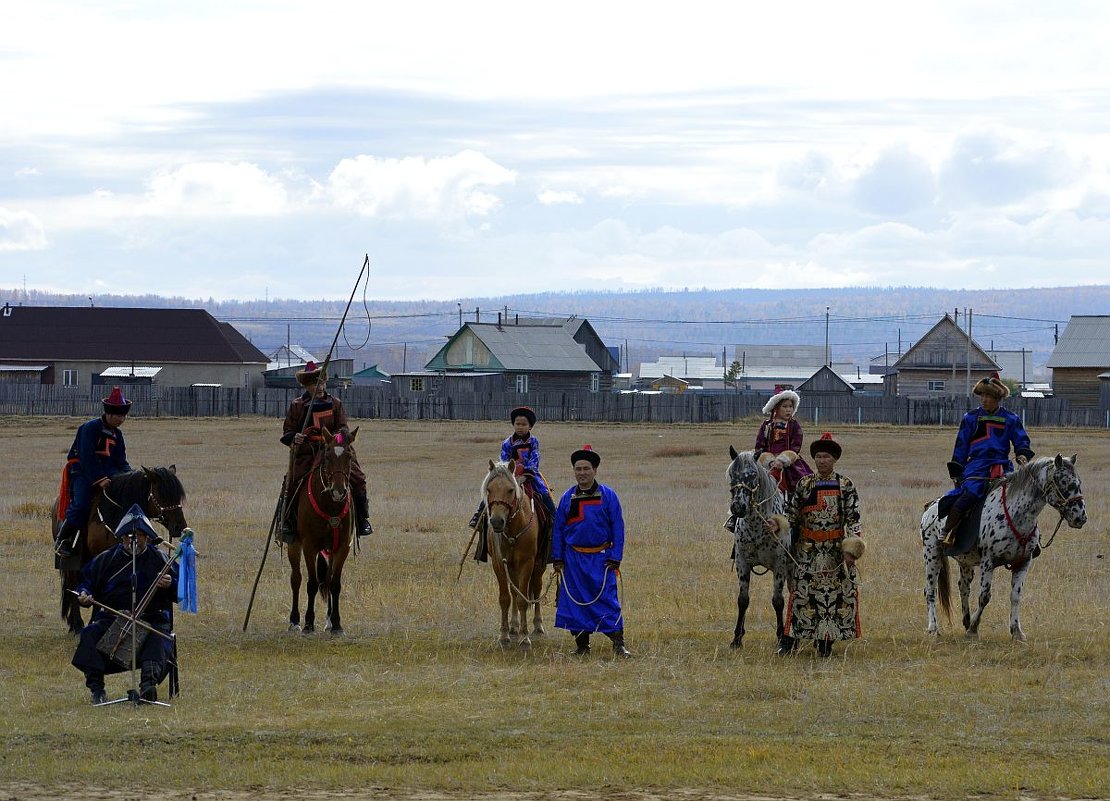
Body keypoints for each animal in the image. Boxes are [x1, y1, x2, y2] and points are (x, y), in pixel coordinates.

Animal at [52, 465, 187, 634]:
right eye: (162, 495)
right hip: (71, 560)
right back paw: (77, 624)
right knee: (71, 585)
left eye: (178, 496)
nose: (180, 527)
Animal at [288, 428, 357, 634]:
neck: (330, 506)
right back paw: (294, 621)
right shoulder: (309, 546)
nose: (338, 491)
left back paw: (328, 620)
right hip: (294, 545)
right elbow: (311, 583)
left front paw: (337, 623)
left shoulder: (342, 547)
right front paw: (309, 623)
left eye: (350, 456)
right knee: (296, 579)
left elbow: (334, 584)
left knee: (326, 578)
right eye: (327, 455)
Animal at [479, 459, 548, 647]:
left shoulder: (527, 562)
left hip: (539, 565)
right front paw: (504, 635)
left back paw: (538, 625)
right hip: (511, 566)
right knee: (514, 589)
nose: (496, 521)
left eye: (510, 490)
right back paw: (514, 626)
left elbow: (523, 599)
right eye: (489, 489)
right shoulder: (499, 563)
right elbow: (505, 598)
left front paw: (525, 637)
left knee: (536, 589)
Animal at [723, 443, 794, 647]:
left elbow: (778, 601)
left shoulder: (779, 565)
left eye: (753, 474)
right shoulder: (742, 563)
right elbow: (743, 600)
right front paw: (737, 639)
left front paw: (781, 637)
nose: (738, 507)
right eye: (732, 474)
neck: (757, 526)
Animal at [919, 452, 1083, 639]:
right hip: (932, 554)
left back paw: (965, 620)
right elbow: (984, 596)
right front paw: (974, 628)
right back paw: (933, 628)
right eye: (1064, 482)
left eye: (1079, 482)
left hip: (965, 561)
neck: (1017, 515)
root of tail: (930, 507)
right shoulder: (988, 562)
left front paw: (1016, 631)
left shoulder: (1024, 562)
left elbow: (1016, 596)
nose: (1081, 517)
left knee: (963, 587)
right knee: (930, 590)